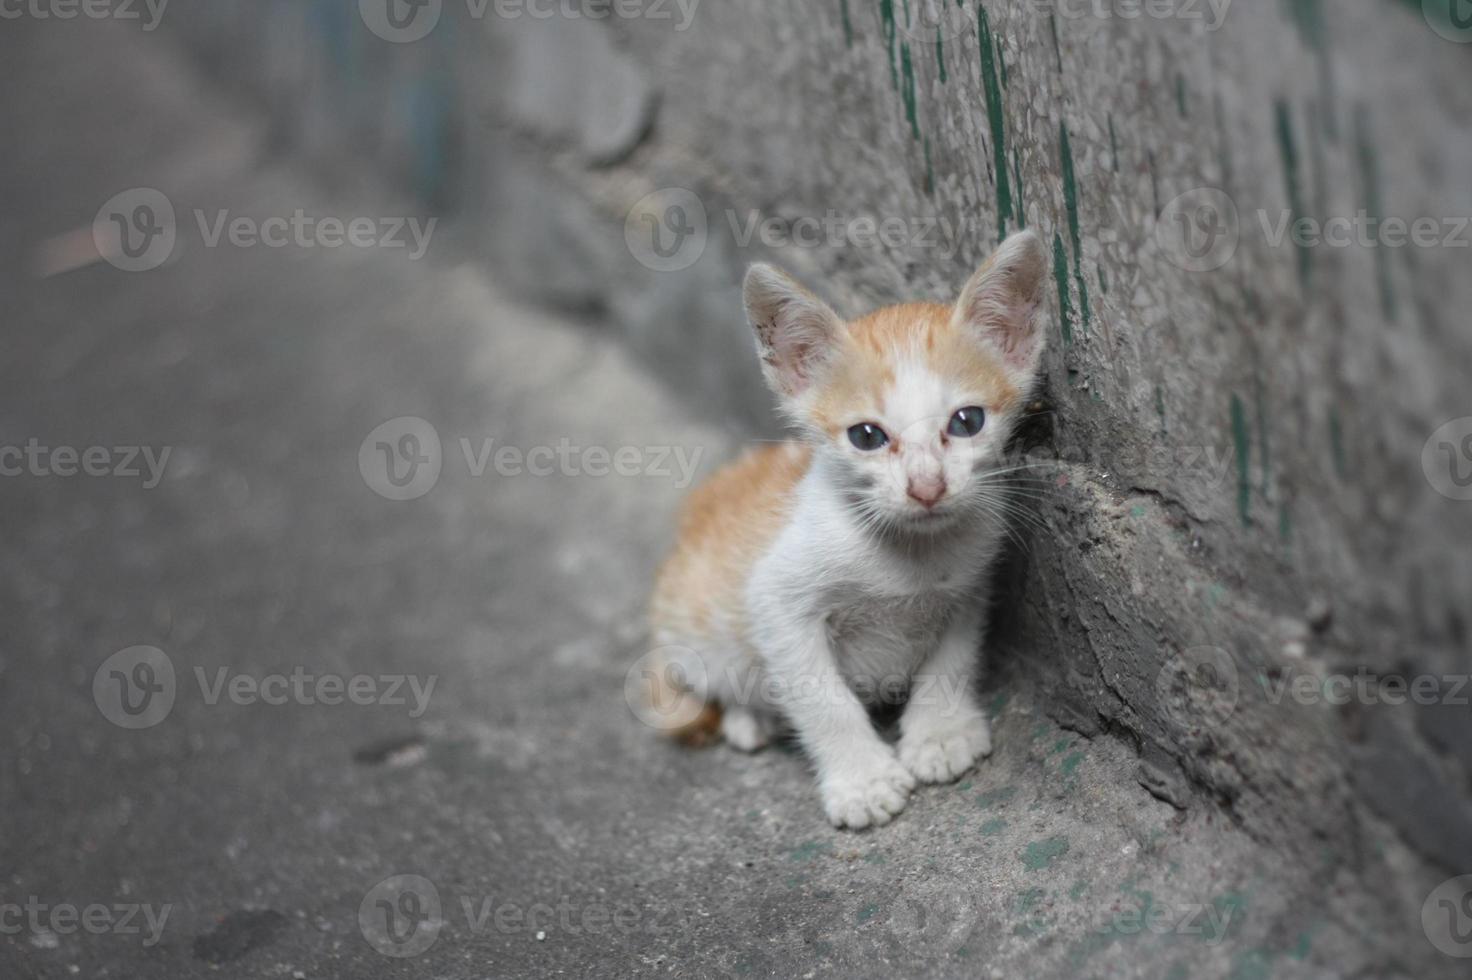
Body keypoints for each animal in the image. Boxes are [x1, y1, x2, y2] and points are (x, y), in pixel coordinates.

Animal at [647, 229, 1048, 824]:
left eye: (967, 421)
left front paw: (940, 731)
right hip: (691, 629)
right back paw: (750, 716)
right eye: (866, 436)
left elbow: (953, 656)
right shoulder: (776, 601)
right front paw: (862, 779)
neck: (909, 551)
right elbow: (821, 697)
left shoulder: (970, 579)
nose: (926, 487)